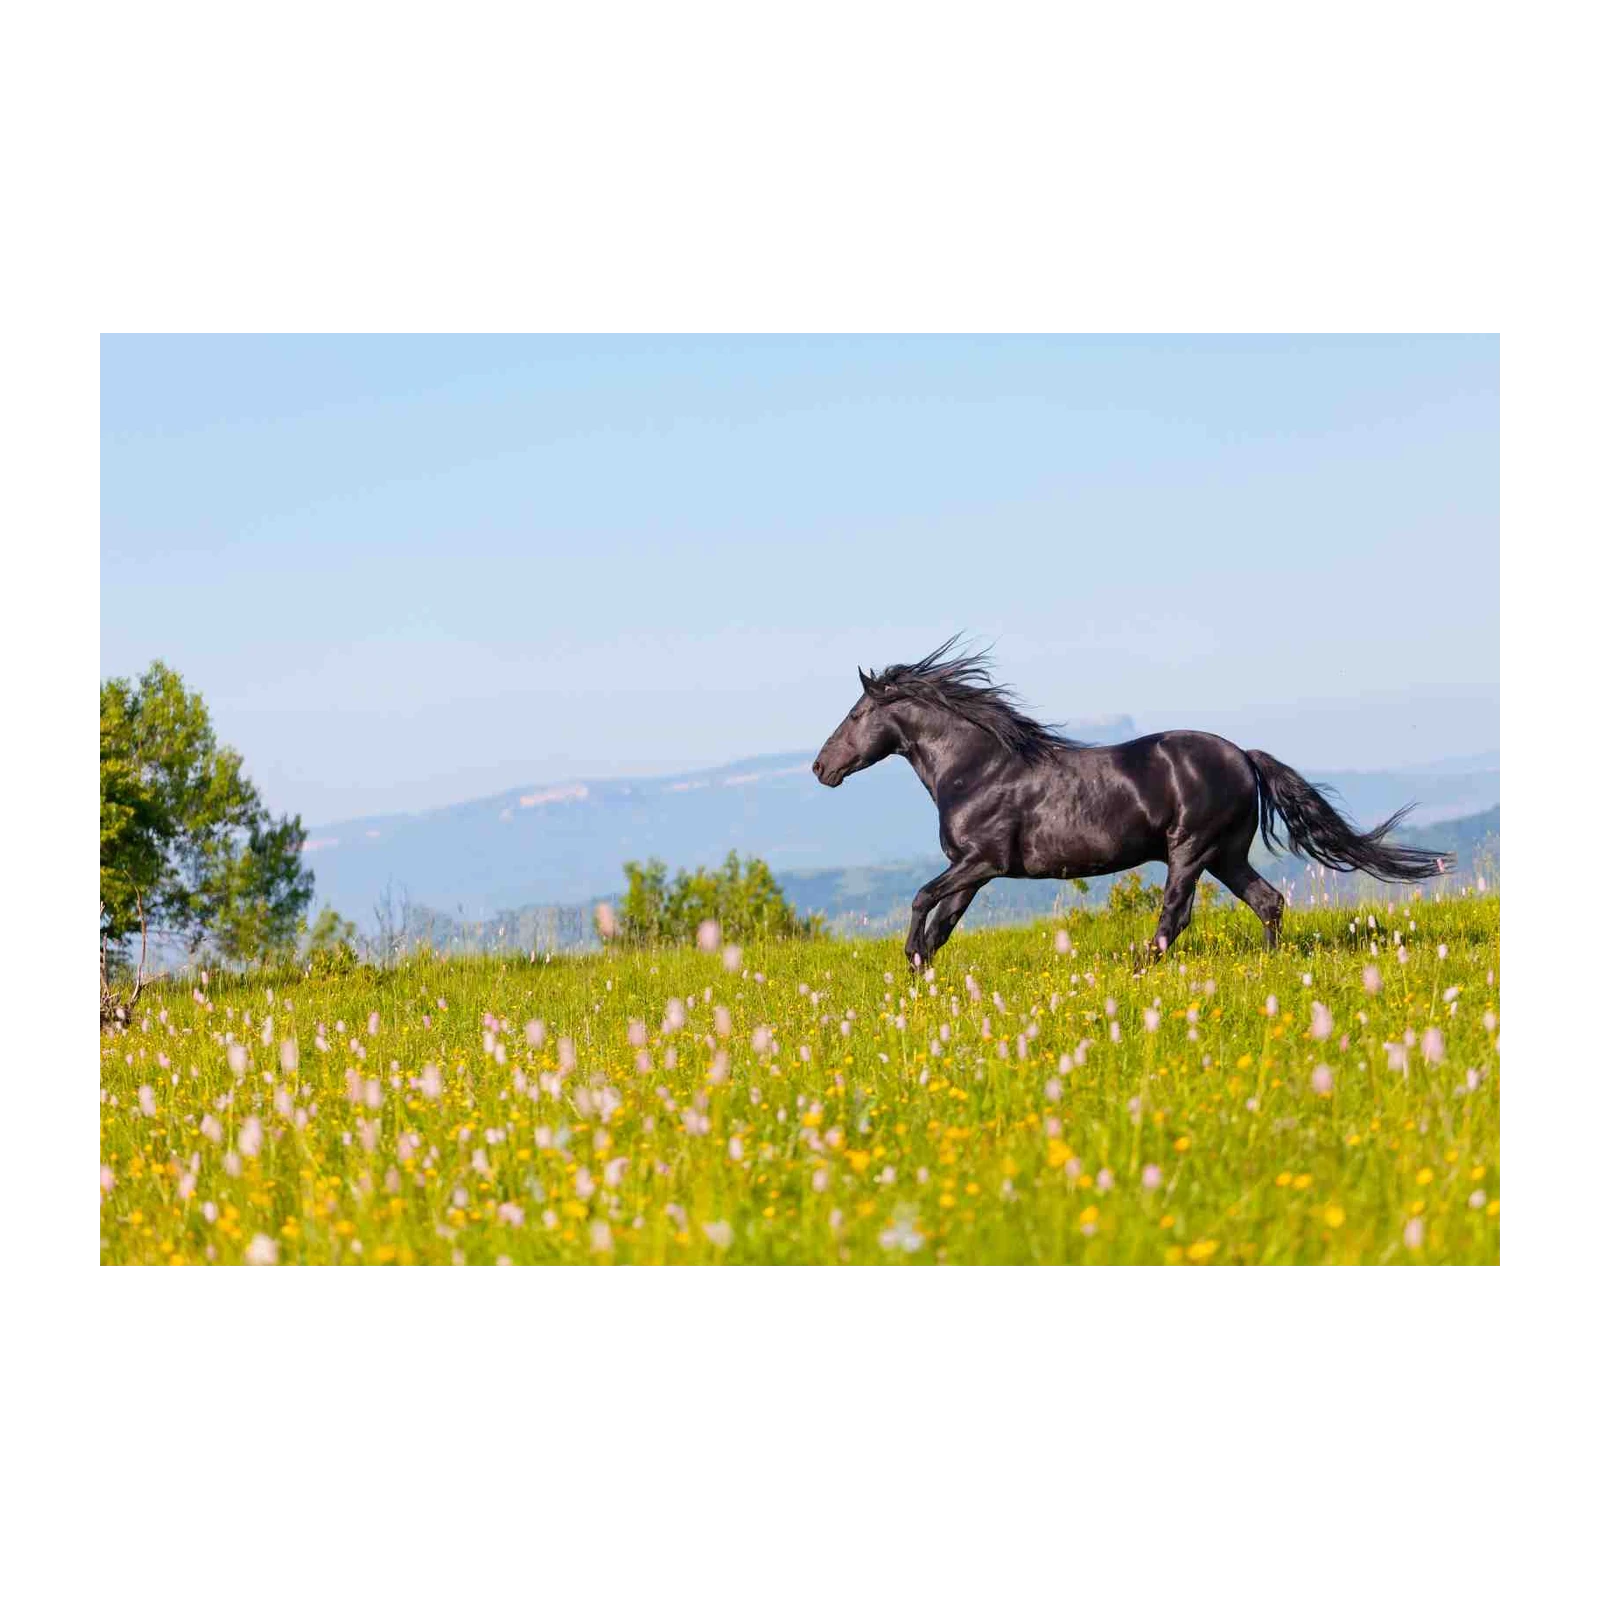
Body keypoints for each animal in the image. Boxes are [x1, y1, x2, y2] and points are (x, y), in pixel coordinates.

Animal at [812, 638, 1454, 969]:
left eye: (855, 715)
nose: (821, 768)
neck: (978, 770)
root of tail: (1243, 757)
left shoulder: (983, 862)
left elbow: (922, 898)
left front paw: (910, 961)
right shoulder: (975, 871)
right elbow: (943, 922)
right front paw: (921, 971)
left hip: (1191, 849)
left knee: (1176, 914)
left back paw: (1140, 964)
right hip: (1226, 854)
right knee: (1267, 901)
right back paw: (1270, 965)